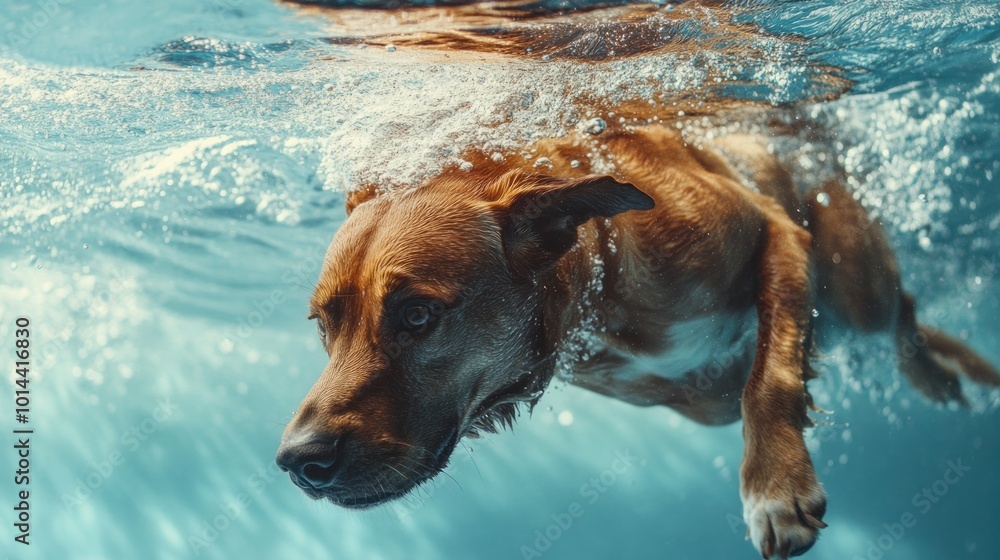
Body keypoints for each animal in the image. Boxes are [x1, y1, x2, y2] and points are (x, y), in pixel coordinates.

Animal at [274, 120, 1000, 556]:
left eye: (418, 315)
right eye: (323, 326)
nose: (296, 462)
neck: (599, 293)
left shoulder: (776, 233)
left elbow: (770, 379)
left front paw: (776, 485)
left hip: (857, 286)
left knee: (902, 316)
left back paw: (937, 372)